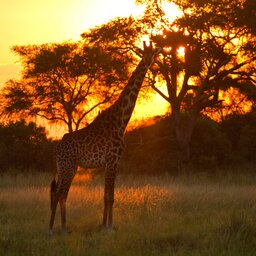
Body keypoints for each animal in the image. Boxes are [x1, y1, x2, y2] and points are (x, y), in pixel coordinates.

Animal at [49, 40, 161, 234]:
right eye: (143, 53)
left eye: (153, 53)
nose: (147, 62)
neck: (121, 120)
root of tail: (58, 147)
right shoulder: (112, 160)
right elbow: (110, 196)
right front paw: (108, 227)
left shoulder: (111, 163)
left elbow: (107, 195)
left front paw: (104, 225)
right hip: (69, 167)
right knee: (62, 193)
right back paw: (63, 227)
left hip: (63, 167)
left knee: (56, 193)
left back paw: (50, 228)